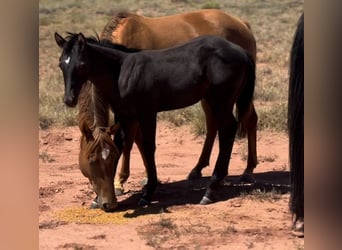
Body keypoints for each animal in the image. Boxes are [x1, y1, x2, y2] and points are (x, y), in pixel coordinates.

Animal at [54, 32, 255, 209]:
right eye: (61, 65)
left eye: (81, 65)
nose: (69, 99)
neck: (122, 73)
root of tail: (241, 51)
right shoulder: (124, 116)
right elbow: (119, 146)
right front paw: (102, 197)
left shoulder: (147, 114)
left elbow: (148, 148)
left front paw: (148, 193)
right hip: (213, 101)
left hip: (221, 102)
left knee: (228, 129)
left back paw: (210, 190)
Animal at [97, 8, 258, 195]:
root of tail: (242, 24)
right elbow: (137, 141)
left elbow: (131, 141)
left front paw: (121, 181)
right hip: (212, 97)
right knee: (213, 125)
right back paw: (198, 168)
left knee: (249, 120)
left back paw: (248, 170)